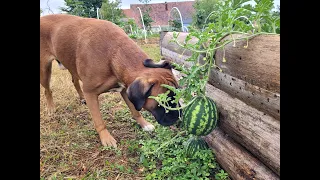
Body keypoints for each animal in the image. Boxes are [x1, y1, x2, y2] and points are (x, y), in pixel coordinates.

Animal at [39, 14, 180, 148]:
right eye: (164, 102)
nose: (179, 117)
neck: (114, 53)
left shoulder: (126, 89)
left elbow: (135, 111)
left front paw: (144, 124)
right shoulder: (90, 93)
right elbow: (99, 121)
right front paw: (106, 138)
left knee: (74, 80)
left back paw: (81, 97)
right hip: (44, 70)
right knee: (47, 90)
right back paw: (51, 108)